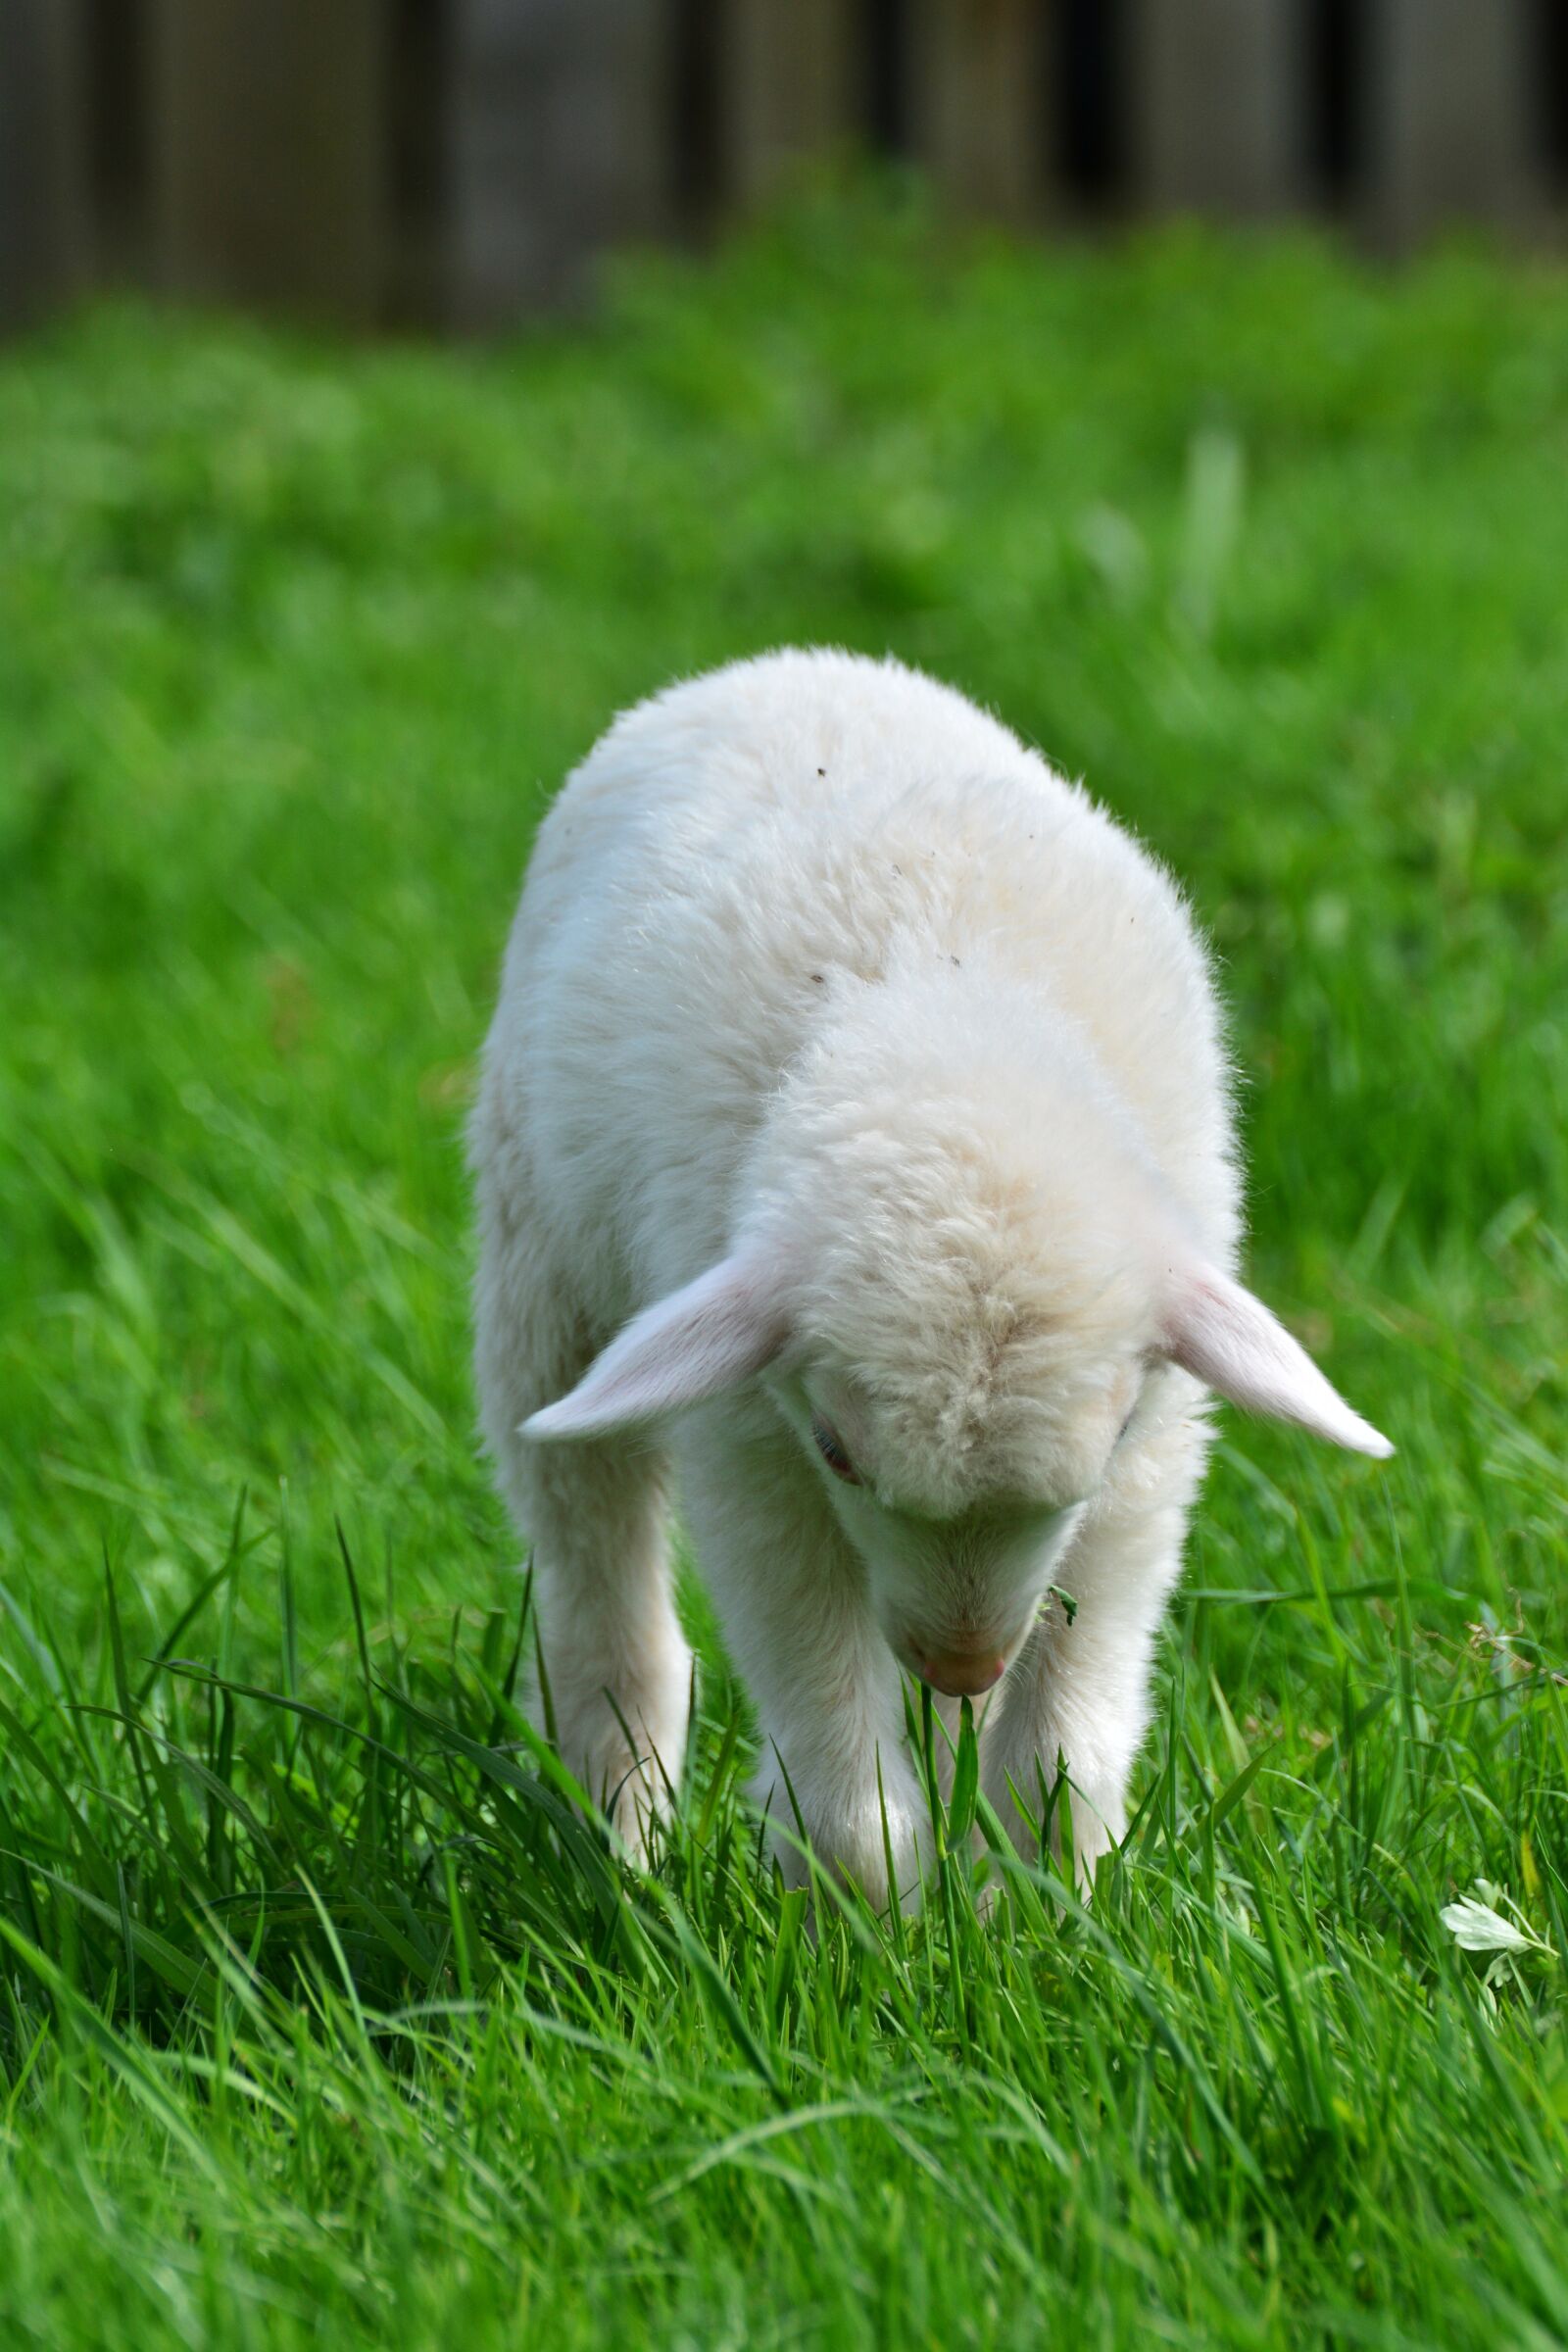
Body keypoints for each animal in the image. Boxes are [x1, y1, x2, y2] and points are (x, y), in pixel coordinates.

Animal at [469, 648, 1389, 1905]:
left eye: (1099, 1452)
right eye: (837, 1451)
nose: (961, 1663)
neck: (951, 1035)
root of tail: (782, 664)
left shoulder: (1151, 1448)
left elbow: (1064, 1730)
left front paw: (1045, 1905)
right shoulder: (753, 1445)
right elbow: (828, 1728)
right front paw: (866, 1913)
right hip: (541, 1268)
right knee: (595, 1574)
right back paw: (621, 1834)